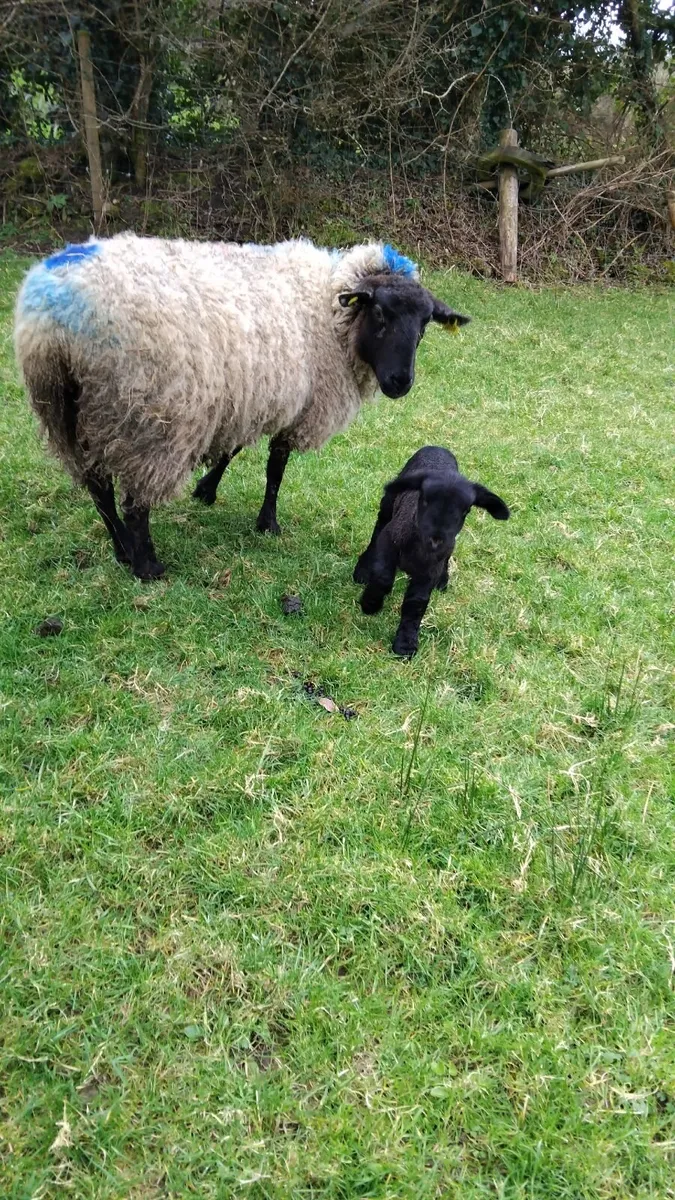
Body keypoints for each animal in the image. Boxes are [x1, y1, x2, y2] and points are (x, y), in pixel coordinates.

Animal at [14, 235, 470, 580]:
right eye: (379, 312)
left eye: (425, 324)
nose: (400, 382)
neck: (328, 308)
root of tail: (54, 320)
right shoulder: (295, 402)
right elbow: (276, 466)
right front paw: (267, 522)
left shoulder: (250, 395)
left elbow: (233, 450)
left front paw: (207, 489)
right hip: (148, 419)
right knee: (134, 501)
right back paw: (147, 565)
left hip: (71, 414)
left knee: (99, 490)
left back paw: (123, 549)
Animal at [354, 445, 510, 657]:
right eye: (425, 500)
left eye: (466, 510)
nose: (436, 539)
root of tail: (438, 447)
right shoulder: (389, 541)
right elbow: (383, 577)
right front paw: (370, 604)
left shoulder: (429, 572)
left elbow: (416, 604)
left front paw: (405, 644)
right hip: (388, 505)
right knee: (377, 530)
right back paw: (362, 570)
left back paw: (443, 580)